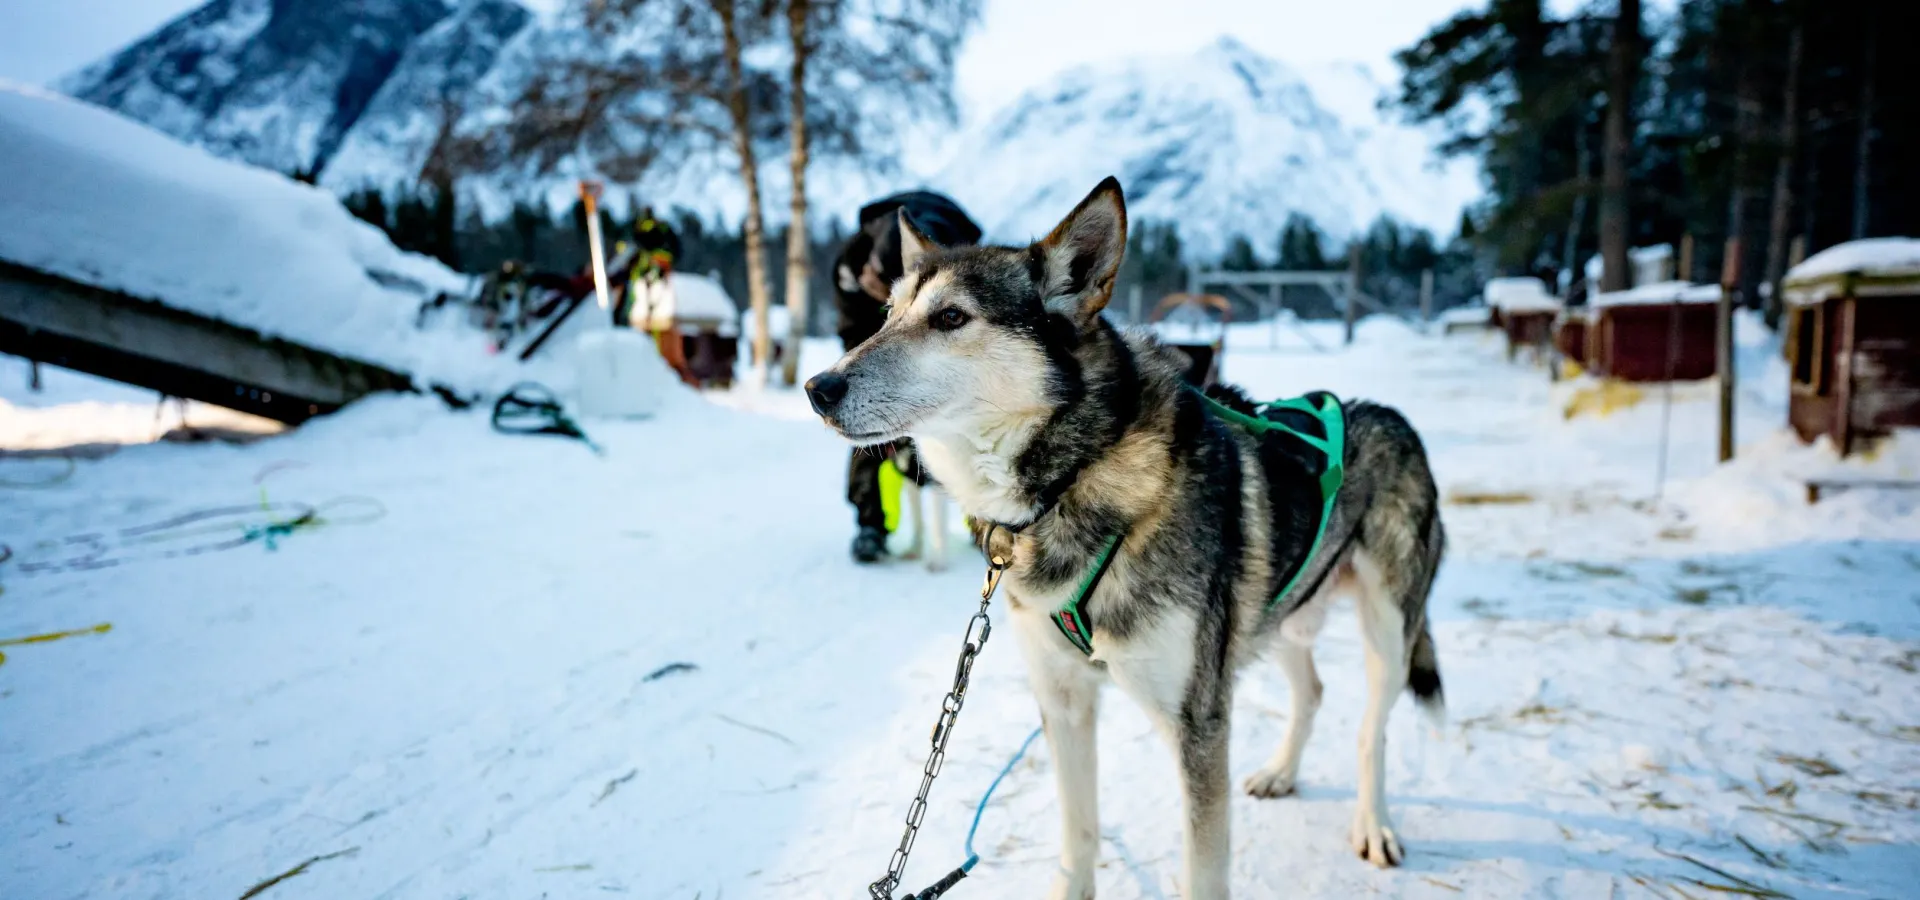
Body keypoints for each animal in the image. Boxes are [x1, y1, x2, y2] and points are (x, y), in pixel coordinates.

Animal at [802, 178, 1443, 894]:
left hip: (1386, 631)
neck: (1073, 478)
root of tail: (1387, 416)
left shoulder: (1199, 723)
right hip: (1278, 617)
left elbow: (1204, 871)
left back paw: (1373, 824)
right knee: (1313, 690)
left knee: (1372, 728)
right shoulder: (1064, 702)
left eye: (950, 318)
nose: (817, 387)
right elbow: (1079, 835)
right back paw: (1282, 772)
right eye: (887, 315)